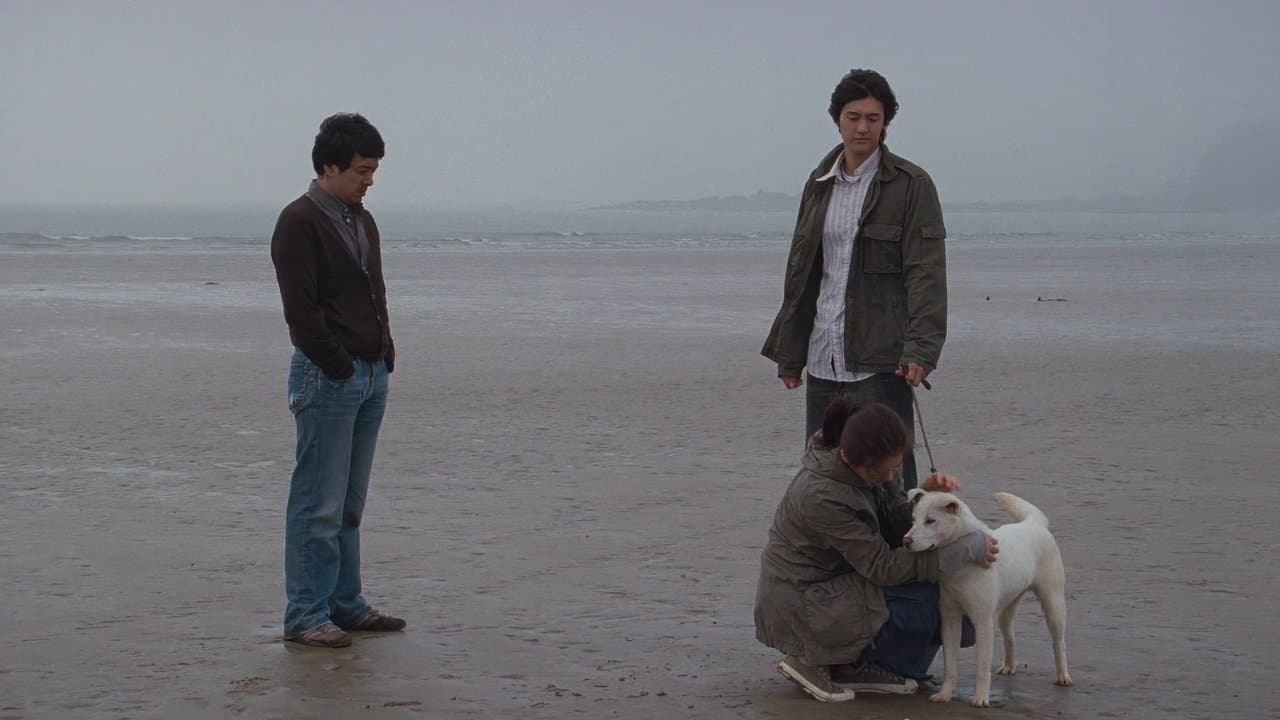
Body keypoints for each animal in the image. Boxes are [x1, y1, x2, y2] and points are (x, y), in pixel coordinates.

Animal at [906, 489, 1075, 702]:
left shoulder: (983, 620)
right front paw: (944, 695)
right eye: (913, 519)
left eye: (930, 520)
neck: (960, 564)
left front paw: (980, 699)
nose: (906, 541)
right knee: (1010, 638)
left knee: (1059, 642)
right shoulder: (950, 618)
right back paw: (1009, 667)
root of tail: (1034, 523)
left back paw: (1063, 676)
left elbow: (982, 666)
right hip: (1007, 609)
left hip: (1053, 602)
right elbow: (950, 665)